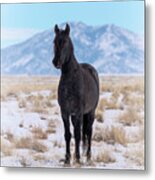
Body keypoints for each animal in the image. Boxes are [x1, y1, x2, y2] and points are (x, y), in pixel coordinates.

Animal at [52, 23, 99, 165]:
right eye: (54, 41)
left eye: (65, 41)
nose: (56, 62)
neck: (70, 79)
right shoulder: (65, 112)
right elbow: (68, 135)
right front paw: (67, 158)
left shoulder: (78, 112)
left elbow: (78, 135)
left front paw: (78, 158)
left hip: (90, 112)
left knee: (89, 131)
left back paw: (88, 156)